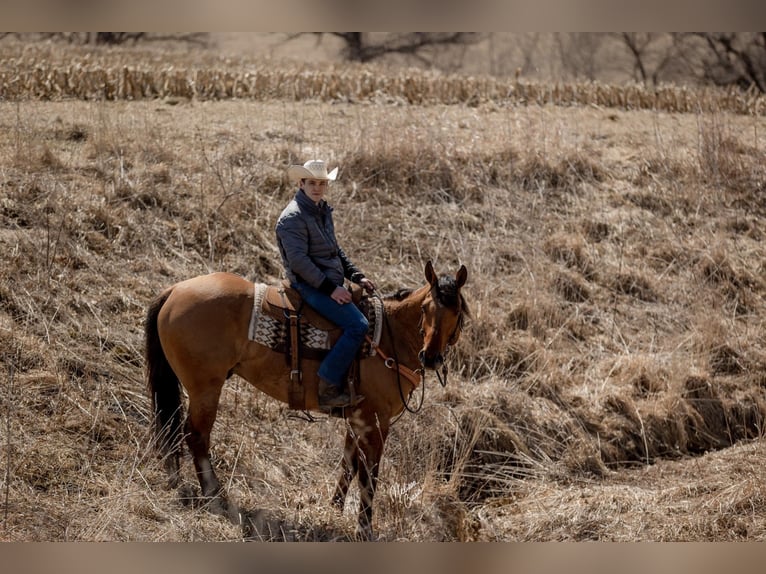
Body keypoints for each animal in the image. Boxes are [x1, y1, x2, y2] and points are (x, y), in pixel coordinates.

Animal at [144, 260, 468, 540]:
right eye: (425, 309)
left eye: (456, 313)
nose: (431, 357)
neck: (389, 337)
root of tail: (175, 290)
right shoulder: (375, 422)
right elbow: (369, 476)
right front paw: (364, 530)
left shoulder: (356, 418)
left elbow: (348, 464)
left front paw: (335, 509)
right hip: (205, 388)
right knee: (195, 435)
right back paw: (214, 494)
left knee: (172, 429)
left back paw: (178, 481)